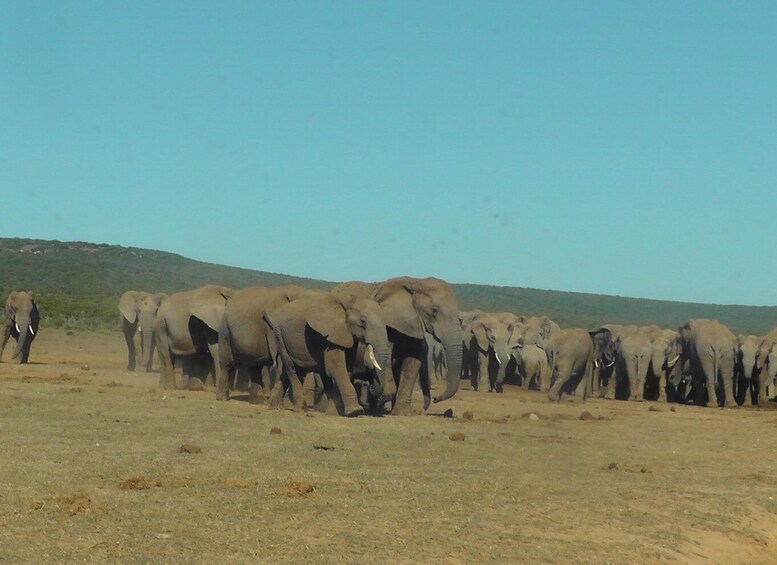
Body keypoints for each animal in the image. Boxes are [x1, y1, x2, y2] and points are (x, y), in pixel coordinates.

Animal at [331, 277, 463, 416]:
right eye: (434, 310)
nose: (435, 398)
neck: (416, 282)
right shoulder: (388, 324)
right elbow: (381, 360)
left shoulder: (412, 325)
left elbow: (413, 362)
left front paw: (403, 413)